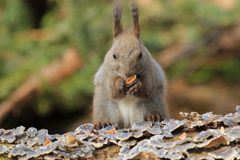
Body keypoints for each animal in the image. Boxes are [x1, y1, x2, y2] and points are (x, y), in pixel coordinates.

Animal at [92, 0, 169, 129]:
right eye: (114, 55)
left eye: (141, 54)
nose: (128, 74)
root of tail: (128, 122)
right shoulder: (107, 73)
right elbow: (111, 89)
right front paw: (119, 84)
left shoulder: (150, 71)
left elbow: (147, 86)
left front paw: (137, 84)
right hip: (104, 103)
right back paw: (102, 123)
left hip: (152, 101)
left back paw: (153, 116)